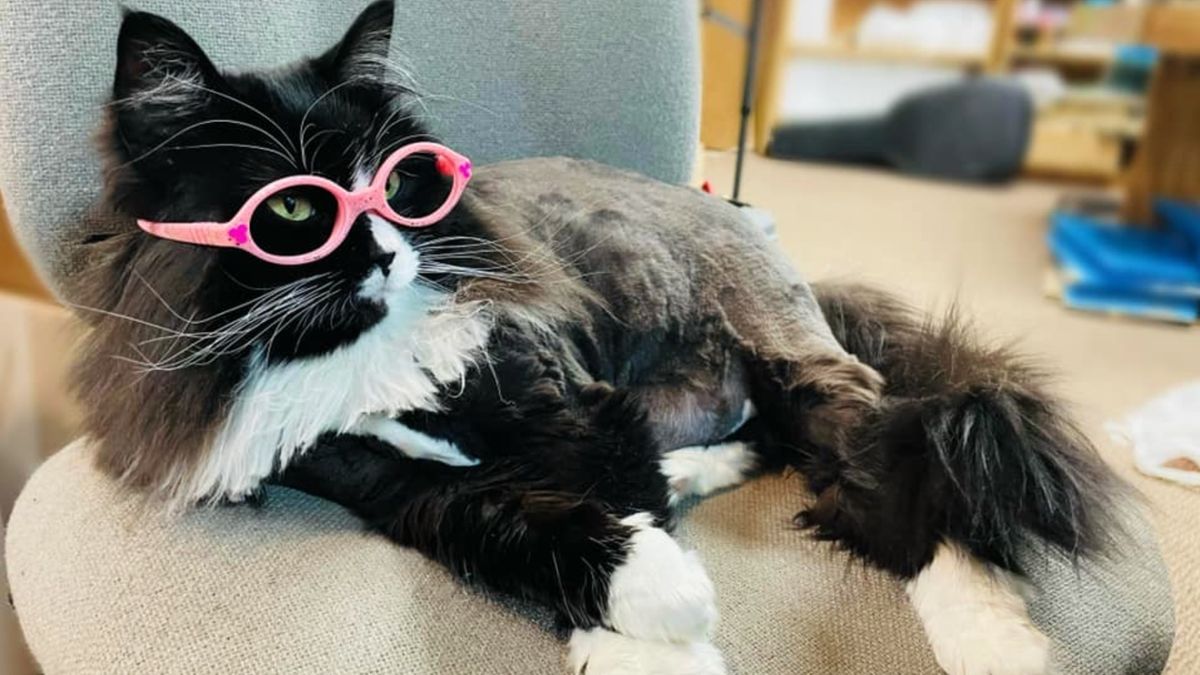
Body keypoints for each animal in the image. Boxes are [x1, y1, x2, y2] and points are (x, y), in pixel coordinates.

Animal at [75, 2, 1123, 667]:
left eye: (406, 181)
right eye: (295, 209)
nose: (388, 253)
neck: (365, 357)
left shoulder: (570, 402)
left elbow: (611, 493)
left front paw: (665, 639)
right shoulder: (386, 483)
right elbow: (514, 528)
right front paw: (658, 608)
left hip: (806, 369)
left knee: (914, 492)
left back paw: (1001, 643)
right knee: (777, 450)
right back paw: (704, 469)